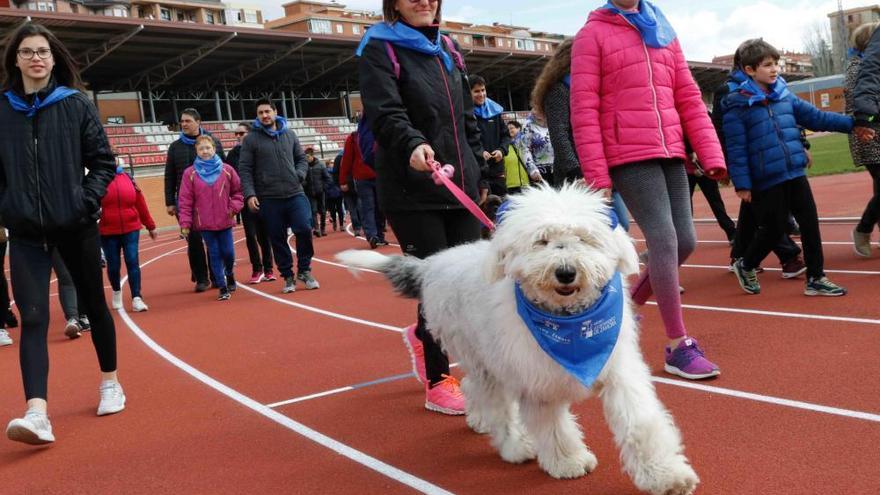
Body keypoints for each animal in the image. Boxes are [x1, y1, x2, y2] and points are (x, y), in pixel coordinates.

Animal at [336, 184, 700, 494]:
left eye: (584, 238)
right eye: (542, 241)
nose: (566, 272)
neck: (569, 324)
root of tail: (433, 264)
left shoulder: (618, 370)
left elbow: (640, 422)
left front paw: (666, 475)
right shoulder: (535, 376)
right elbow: (553, 426)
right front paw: (568, 461)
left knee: (473, 387)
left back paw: (479, 419)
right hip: (483, 353)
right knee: (492, 399)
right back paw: (513, 444)